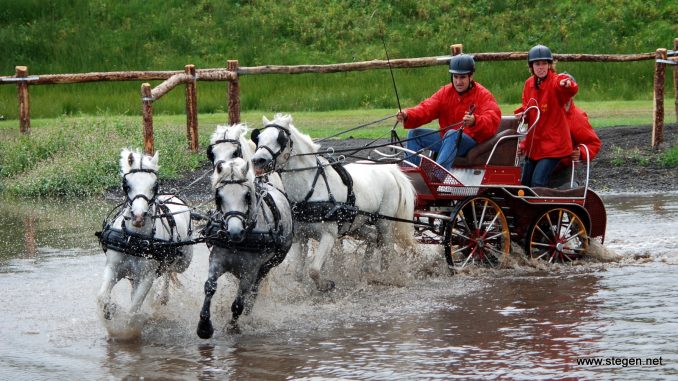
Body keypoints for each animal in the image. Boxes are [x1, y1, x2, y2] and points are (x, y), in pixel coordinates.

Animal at [95, 148, 194, 324]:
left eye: (154, 185)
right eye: (127, 185)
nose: (138, 217)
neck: (135, 240)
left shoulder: (147, 277)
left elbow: (133, 310)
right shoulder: (113, 268)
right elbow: (102, 298)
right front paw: (110, 310)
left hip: (183, 262)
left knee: (169, 269)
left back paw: (163, 295)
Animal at [195, 157, 294, 336]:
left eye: (247, 196)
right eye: (219, 197)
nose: (235, 232)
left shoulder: (250, 269)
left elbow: (239, 301)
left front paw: (233, 326)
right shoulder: (217, 259)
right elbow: (210, 287)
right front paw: (204, 325)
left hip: (268, 264)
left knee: (254, 289)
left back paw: (248, 311)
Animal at [252, 113, 418, 290]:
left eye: (280, 138)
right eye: (259, 137)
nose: (258, 160)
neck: (311, 188)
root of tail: (389, 169)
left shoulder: (329, 235)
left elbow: (313, 270)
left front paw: (326, 285)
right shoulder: (301, 237)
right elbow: (298, 272)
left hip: (384, 222)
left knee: (387, 249)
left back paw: (385, 276)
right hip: (356, 223)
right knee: (372, 237)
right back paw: (365, 273)